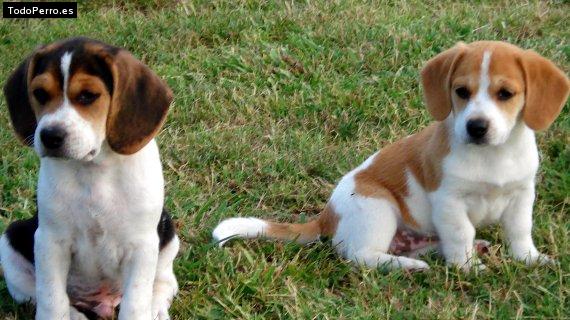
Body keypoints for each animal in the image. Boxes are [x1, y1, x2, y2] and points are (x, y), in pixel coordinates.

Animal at [0, 38, 178, 320]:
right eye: (39, 94)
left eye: (87, 96)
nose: (50, 136)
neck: (94, 170)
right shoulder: (50, 241)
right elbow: (52, 300)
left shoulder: (142, 246)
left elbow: (136, 302)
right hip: (11, 240)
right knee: (40, 295)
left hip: (168, 233)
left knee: (164, 282)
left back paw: (156, 308)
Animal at [212, 41, 568, 272]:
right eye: (461, 92)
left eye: (505, 94)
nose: (476, 127)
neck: (493, 156)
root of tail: (326, 216)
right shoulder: (450, 202)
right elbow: (461, 233)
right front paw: (467, 267)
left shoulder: (522, 195)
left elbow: (520, 232)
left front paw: (529, 259)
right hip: (378, 208)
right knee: (361, 256)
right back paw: (408, 264)